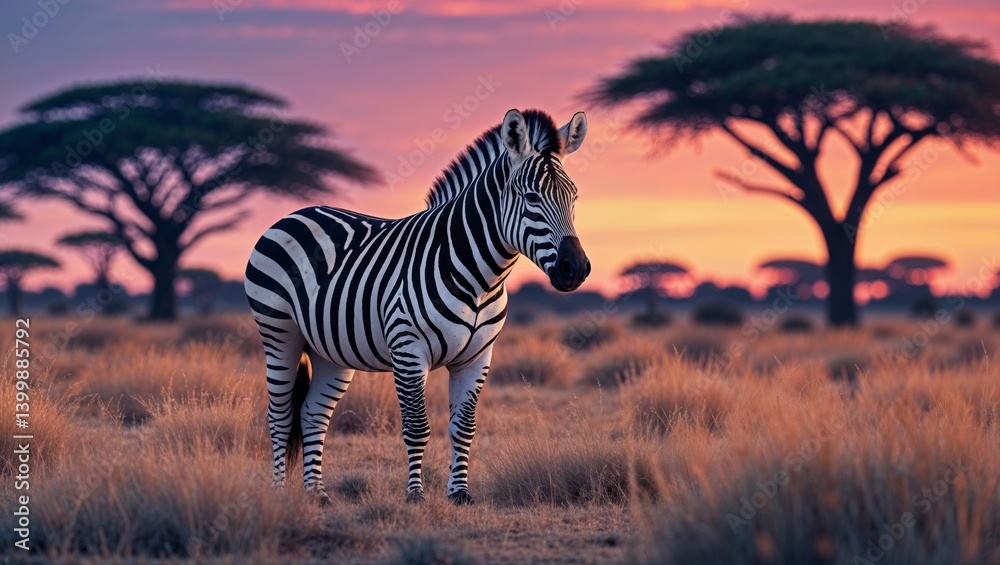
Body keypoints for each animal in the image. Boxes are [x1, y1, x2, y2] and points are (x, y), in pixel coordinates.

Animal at [244, 108, 590, 505]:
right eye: (531, 196)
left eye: (574, 196)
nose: (575, 268)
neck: (480, 277)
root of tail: (297, 212)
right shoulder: (409, 350)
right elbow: (417, 427)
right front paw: (415, 494)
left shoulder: (477, 357)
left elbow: (463, 427)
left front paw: (459, 493)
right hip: (279, 334)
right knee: (281, 416)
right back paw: (278, 494)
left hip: (329, 350)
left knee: (312, 414)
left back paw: (317, 494)